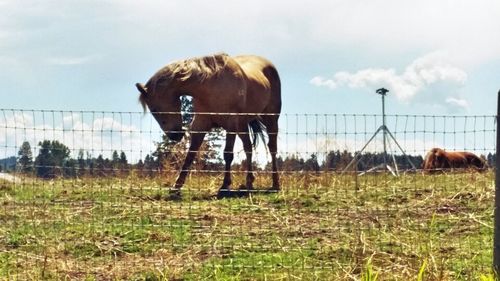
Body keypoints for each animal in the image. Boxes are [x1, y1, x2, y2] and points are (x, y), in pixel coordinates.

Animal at [135, 53, 282, 197]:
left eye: (154, 109)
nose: (175, 136)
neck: (211, 86)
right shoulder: (200, 125)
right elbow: (190, 154)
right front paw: (176, 187)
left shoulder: (231, 125)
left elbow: (228, 154)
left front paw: (225, 186)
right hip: (242, 126)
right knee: (248, 147)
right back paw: (249, 182)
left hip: (270, 120)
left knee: (272, 148)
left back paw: (275, 184)